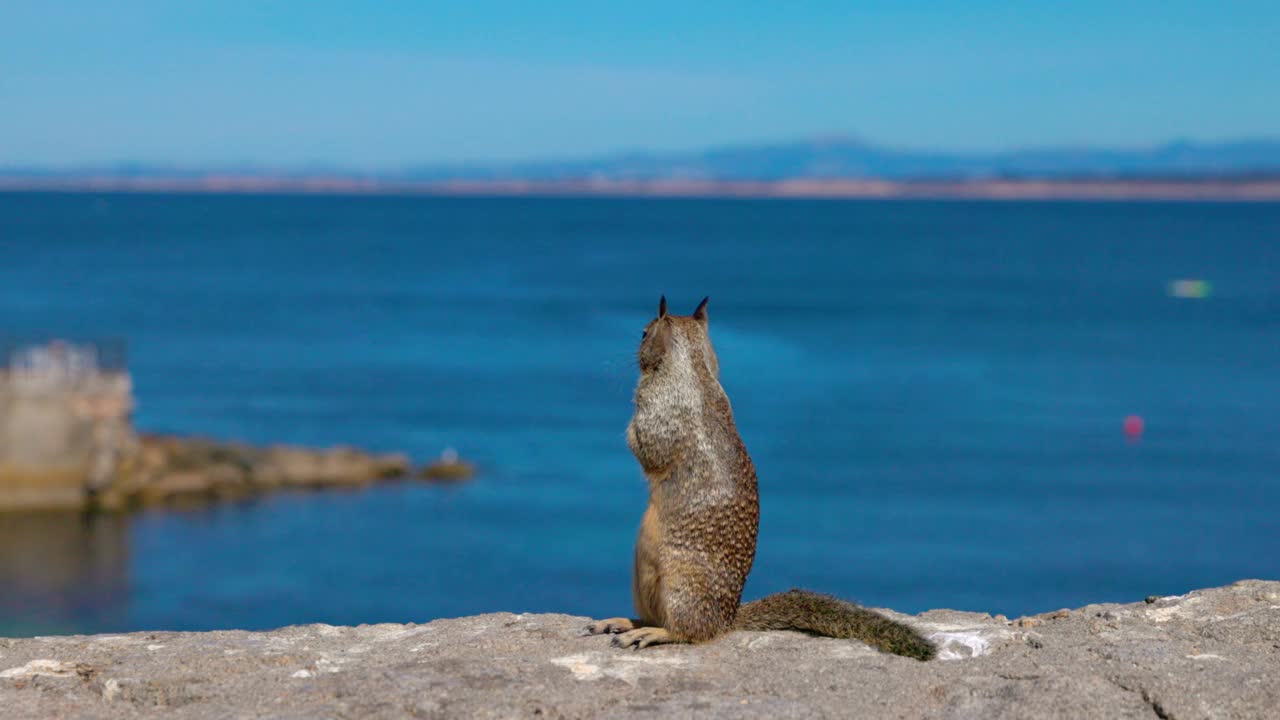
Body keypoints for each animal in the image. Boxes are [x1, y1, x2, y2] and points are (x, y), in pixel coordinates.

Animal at [586, 294, 936, 661]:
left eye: (643, 333)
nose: (637, 346)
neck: (693, 367)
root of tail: (727, 620)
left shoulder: (658, 412)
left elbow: (645, 447)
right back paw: (622, 622)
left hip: (680, 586)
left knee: (689, 633)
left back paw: (650, 633)